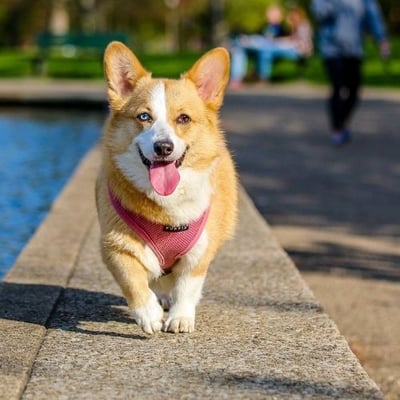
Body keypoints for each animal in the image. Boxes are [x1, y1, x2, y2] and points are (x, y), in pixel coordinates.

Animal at [95, 41, 236, 334]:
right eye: (144, 116)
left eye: (183, 118)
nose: (163, 147)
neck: (166, 207)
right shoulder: (114, 246)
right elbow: (133, 281)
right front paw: (148, 314)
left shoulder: (199, 253)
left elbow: (187, 286)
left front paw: (181, 317)